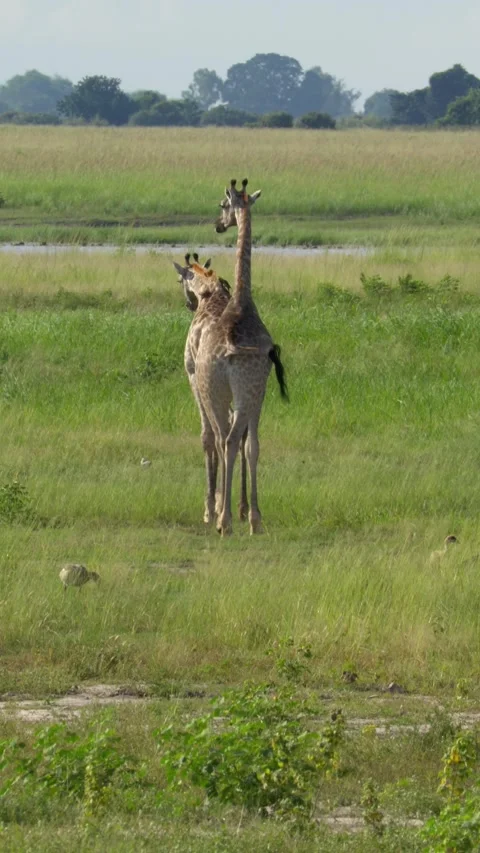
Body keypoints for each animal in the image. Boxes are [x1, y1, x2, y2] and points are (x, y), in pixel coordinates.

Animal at [173, 253, 249, 523]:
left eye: (179, 280)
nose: (188, 304)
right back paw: (243, 506)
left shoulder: (193, 375)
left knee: (221, 433)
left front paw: (210, 504)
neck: (210, 294)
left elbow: (207, 436)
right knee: (241, 432)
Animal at [194, 178, 288, 536]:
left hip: (213, 390)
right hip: (243, 390)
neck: (241, 302)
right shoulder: (260, 389)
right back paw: (229, 520)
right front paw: (254, 517)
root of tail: (230, 349)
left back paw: (222, 516)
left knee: (221, 439)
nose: (219, 225)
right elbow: (254, 446)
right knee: (232, 440)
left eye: (223, 205)